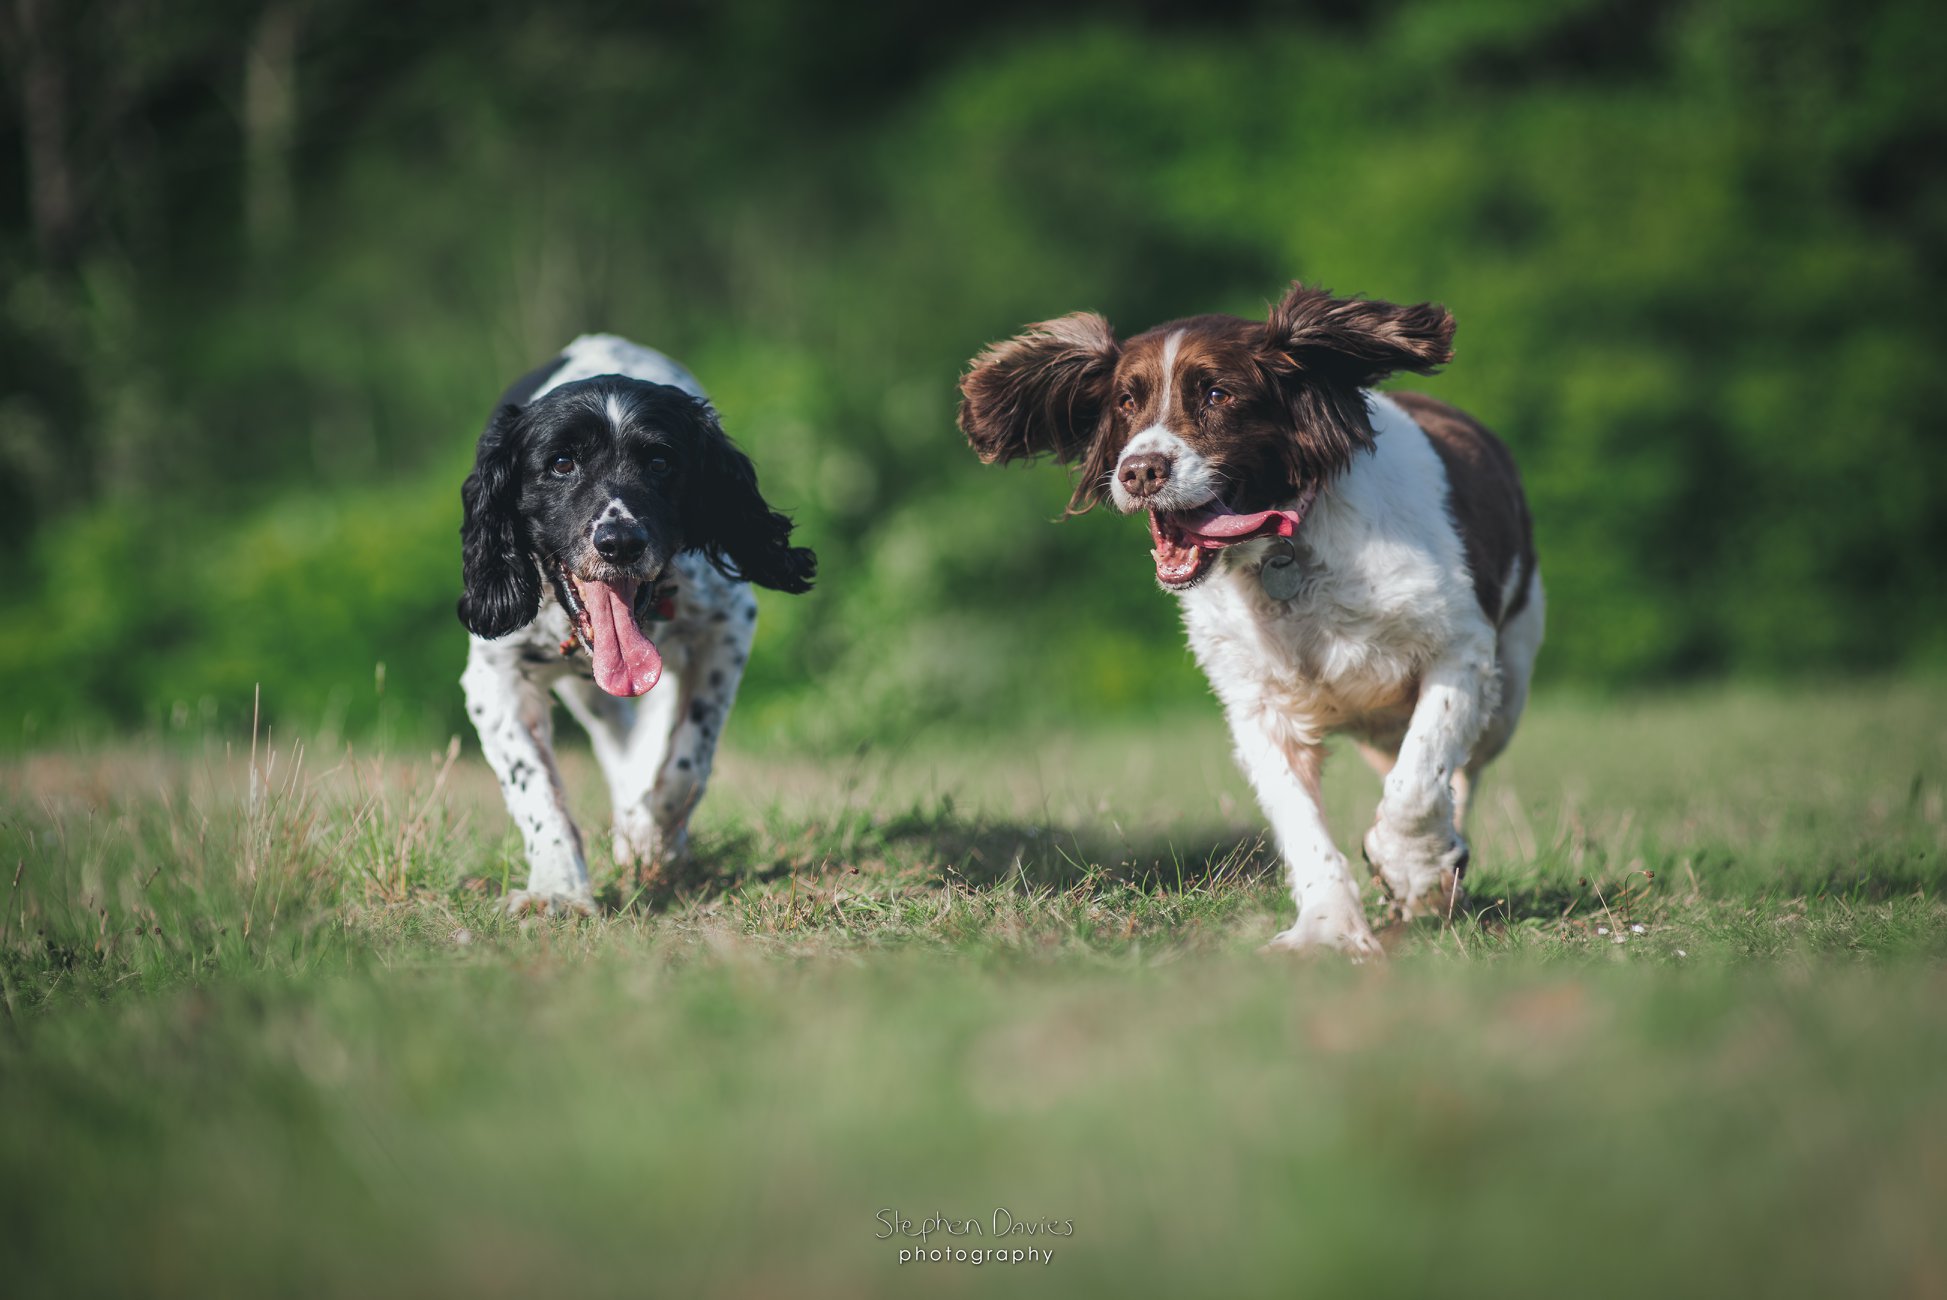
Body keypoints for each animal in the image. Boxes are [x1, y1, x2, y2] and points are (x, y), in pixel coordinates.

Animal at [457, 332, 813, 914]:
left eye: (661, 462)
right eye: (561, 463)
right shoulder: (494, 674)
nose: (620, 541)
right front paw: (557, 888)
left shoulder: (727, 628)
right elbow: (534, 790)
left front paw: (653, 836)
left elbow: (688, 762)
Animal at [954, 284, 1534, 953]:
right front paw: (1327, 929)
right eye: (1126, 400)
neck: (1286, 552)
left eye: (1217, 394)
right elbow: (1300, 820)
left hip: (1507, 690)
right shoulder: (1257, 706)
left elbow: (1420, 777)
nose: (1139, 471)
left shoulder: (1460, 651)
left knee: (1459, 770)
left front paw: (1410, 868)